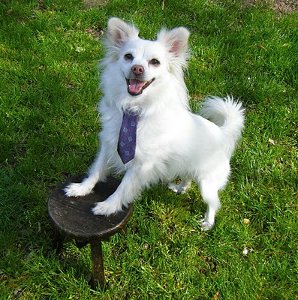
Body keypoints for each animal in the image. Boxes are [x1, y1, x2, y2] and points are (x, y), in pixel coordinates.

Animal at [64, 17, 243, 231]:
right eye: (128, 57)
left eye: (155, 62)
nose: (137, 68)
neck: (135, 110)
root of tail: (222, 133)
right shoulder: (108, 145)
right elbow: (96, 170)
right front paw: (81, 189)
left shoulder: (142, 165)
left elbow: (123, 186)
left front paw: (108, 206)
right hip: (191, 169)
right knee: (188, 178)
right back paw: (180, 188)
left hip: (207, 183)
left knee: (214, 203)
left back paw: (208, 221)